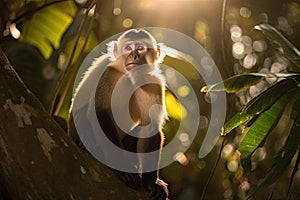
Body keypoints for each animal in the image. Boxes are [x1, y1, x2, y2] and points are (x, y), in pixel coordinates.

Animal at [69, 28, 170, 199]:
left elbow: (150, 127)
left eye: (140, 48)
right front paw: (121, 170)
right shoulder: (110, 72)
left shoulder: (152, 83)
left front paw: (152, 183)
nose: (133, 56)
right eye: (128, 48)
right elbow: (99, 111)